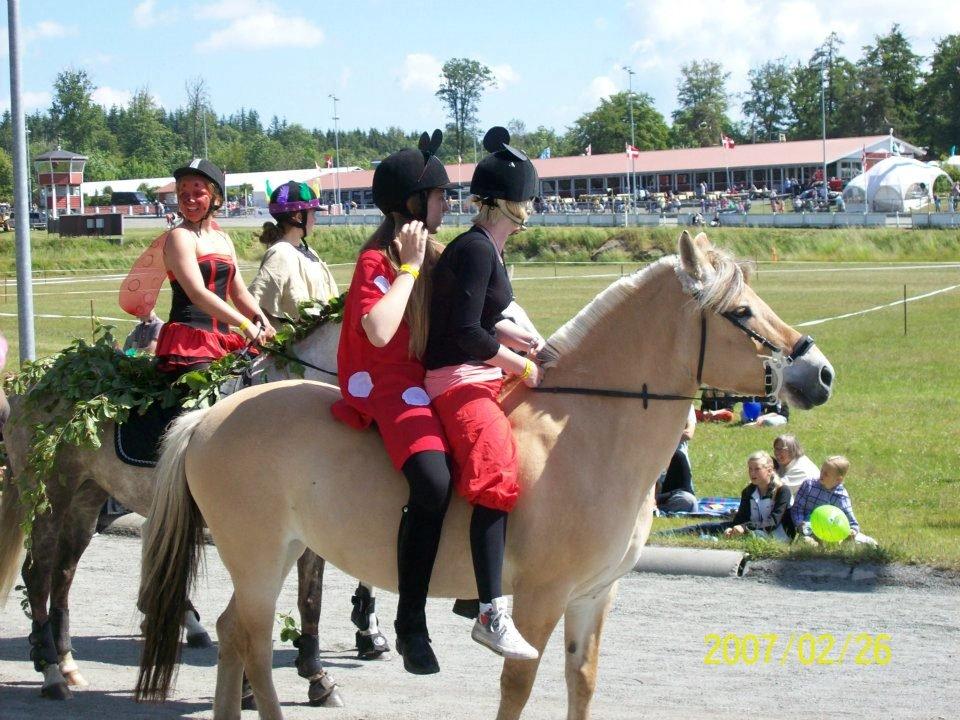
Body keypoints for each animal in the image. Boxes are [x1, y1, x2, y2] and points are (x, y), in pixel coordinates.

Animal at [133, 233, 832, 716]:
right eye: (742, 312)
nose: (819, 372)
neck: (587, 427)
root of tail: (209, 413)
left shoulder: (592, 597)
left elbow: (582, 682)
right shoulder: (541, 600)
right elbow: (517, 687)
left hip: (278, 552)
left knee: (233, 633)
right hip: (258, 555)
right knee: (251, 639)